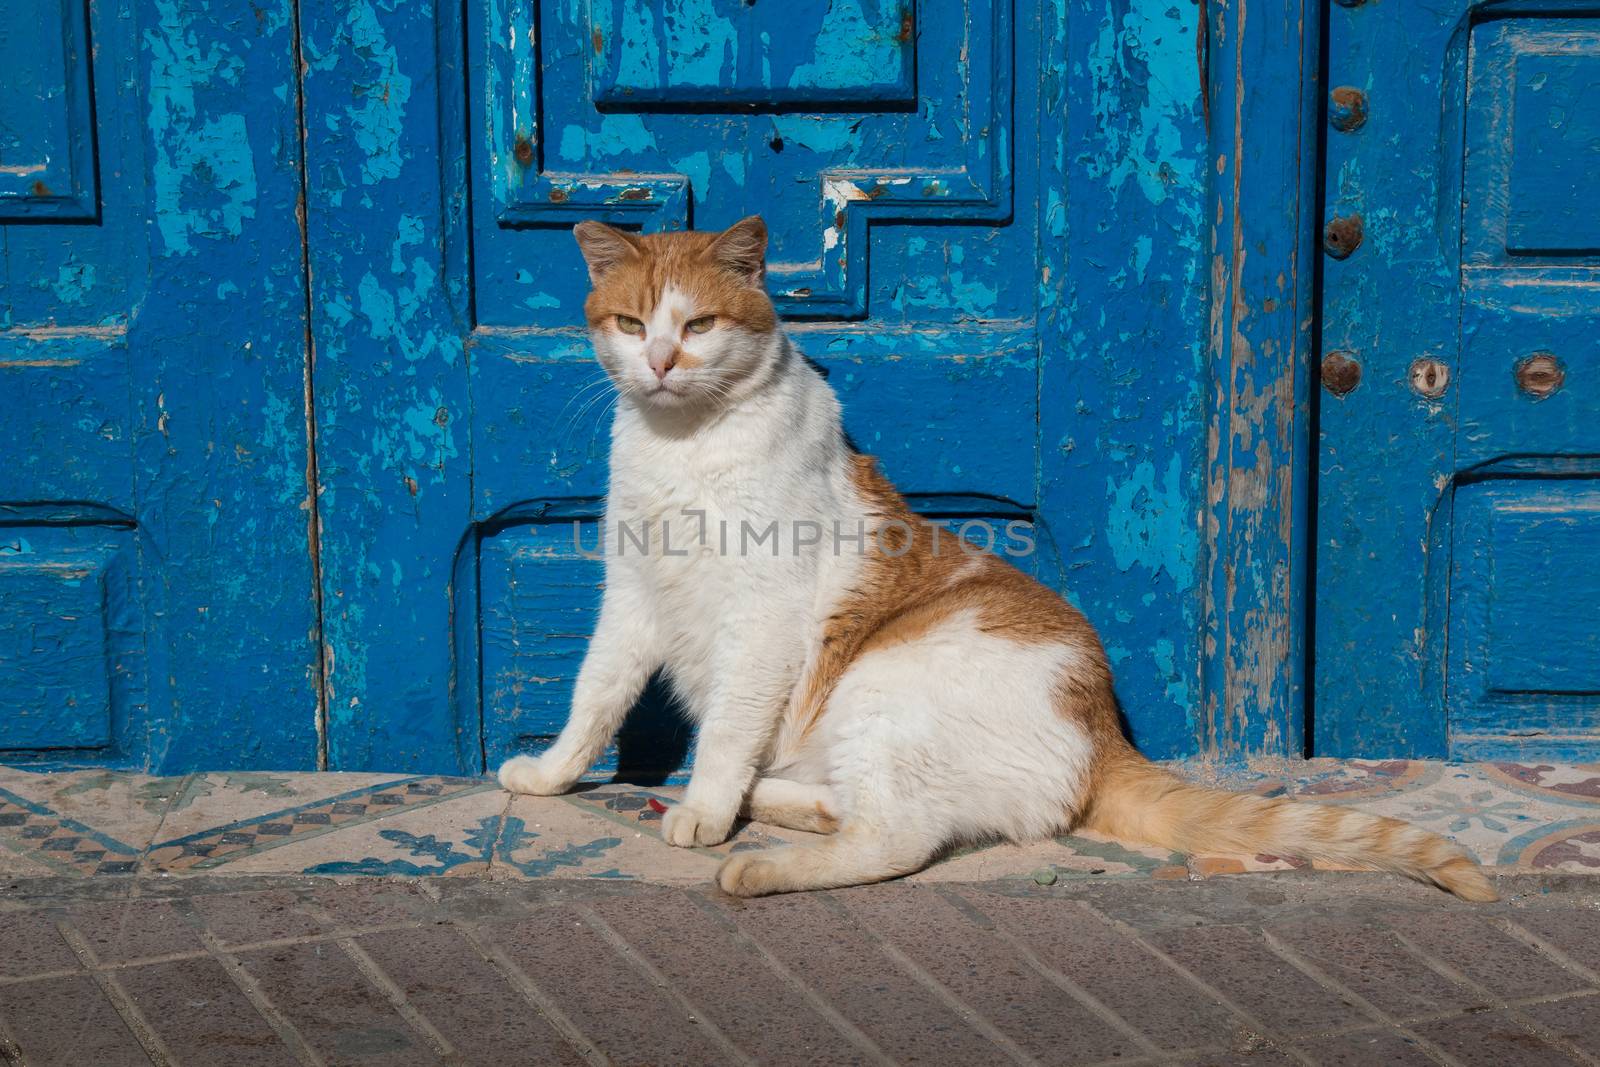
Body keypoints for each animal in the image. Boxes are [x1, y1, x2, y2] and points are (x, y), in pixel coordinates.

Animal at [499, 214, 1497, 902]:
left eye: (699, 324)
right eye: (633, 324)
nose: (663, 364)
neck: (685, 442)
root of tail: (1105, 732)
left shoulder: (764, 618)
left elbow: (728, 729)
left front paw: (706, 808)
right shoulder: (631, 596)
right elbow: (594, 698)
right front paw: (551, 776)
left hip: (881, 682)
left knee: (895, 838)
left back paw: (757, 857)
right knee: (872, 810)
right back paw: (773, 800)